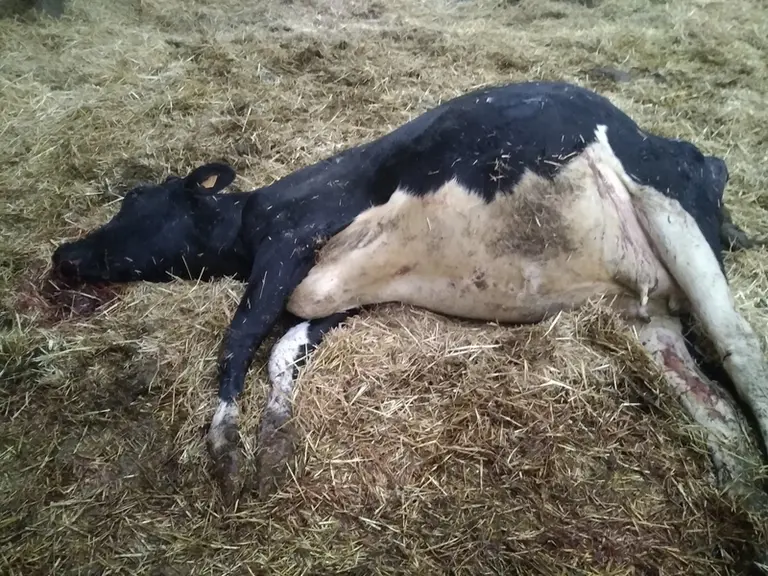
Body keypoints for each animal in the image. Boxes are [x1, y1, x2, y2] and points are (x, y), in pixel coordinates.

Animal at [51, 81, 768, 510]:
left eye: (136, 199)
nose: (63, 254)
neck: (250, 221)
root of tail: (692, 153)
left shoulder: (292, 240)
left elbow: (241, 336)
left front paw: (226, 445)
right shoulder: (326, 296)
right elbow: (286, 347)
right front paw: (275, 434)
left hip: (667, 207)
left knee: (739, 345)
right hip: (646, 311)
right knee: (715, 412)